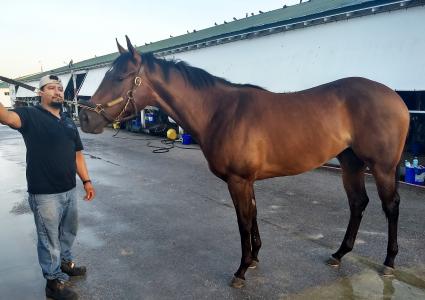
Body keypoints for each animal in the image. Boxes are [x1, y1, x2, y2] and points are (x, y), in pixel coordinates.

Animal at [78, 36, 408, 288]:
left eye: (119, 77)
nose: (84, 118)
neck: (219, 111)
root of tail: (395, 98)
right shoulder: (248, 180)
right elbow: (254, 214)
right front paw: (255, 258)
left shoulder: (237, 180)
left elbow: (243, 221)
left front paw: (241, 269)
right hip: (350, 163)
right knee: (358, 203)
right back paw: (340, 254)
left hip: (382, 167)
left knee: (390, 206)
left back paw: (389, 261)